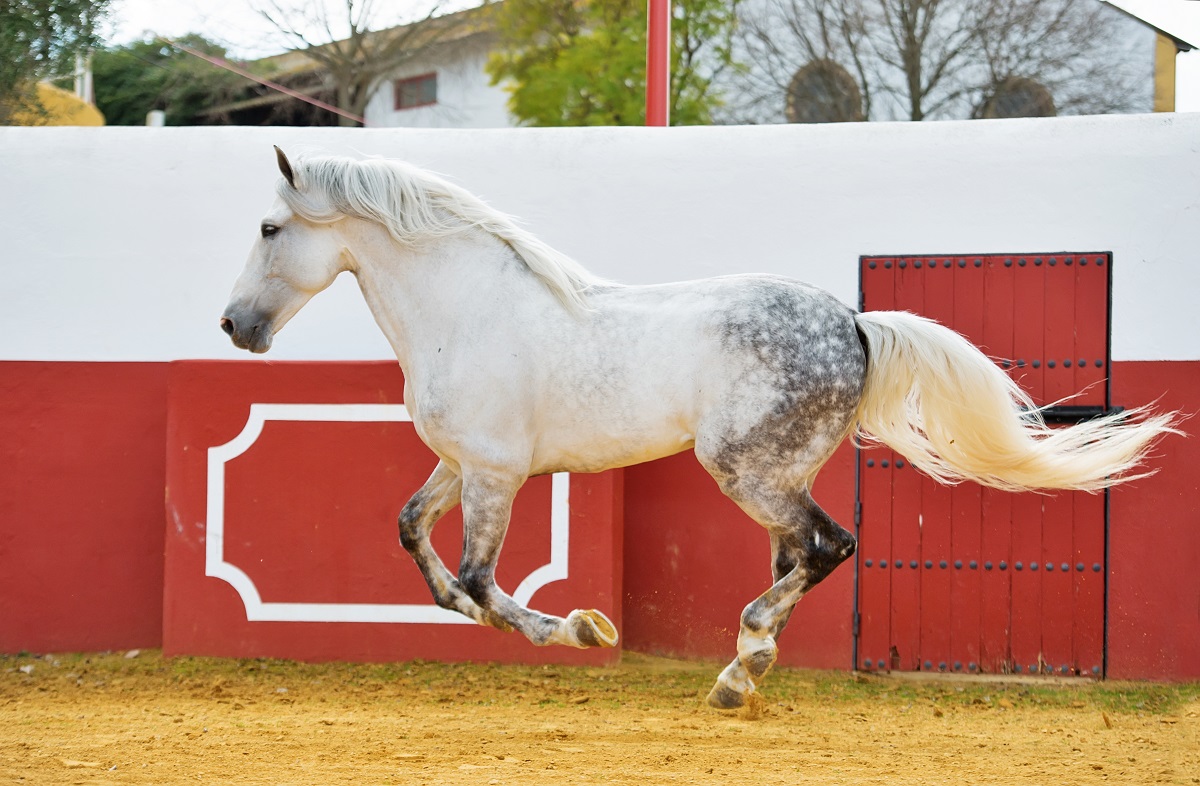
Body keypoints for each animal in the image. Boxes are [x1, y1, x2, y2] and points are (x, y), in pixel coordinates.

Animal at [220, 146, 1177, 709]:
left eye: (270, 227)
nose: (235, 327)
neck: (467, 307)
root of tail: (855, 321)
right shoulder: (461, 464)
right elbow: (418, 541)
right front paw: (514, 619)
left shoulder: (496, 471)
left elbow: (483, 581)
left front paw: (584, 631)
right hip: (779, 473)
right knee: (801, 554)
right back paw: (745, 668)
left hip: (745, 470)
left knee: (828, 546)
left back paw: (739, 667)